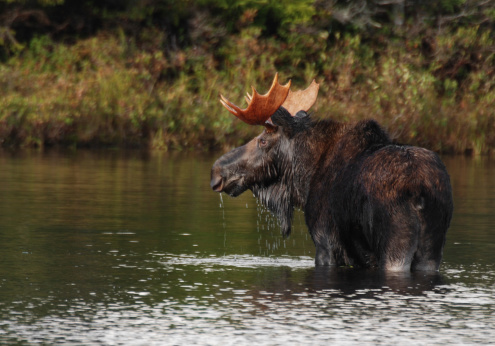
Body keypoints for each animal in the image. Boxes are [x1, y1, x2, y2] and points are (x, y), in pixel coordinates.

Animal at [209, 74, 454, 272]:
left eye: (262, 140)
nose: (216, 171)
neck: (304, 179)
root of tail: (420, 190)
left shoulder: (325, 241)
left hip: (396, 246)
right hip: (431, 250)